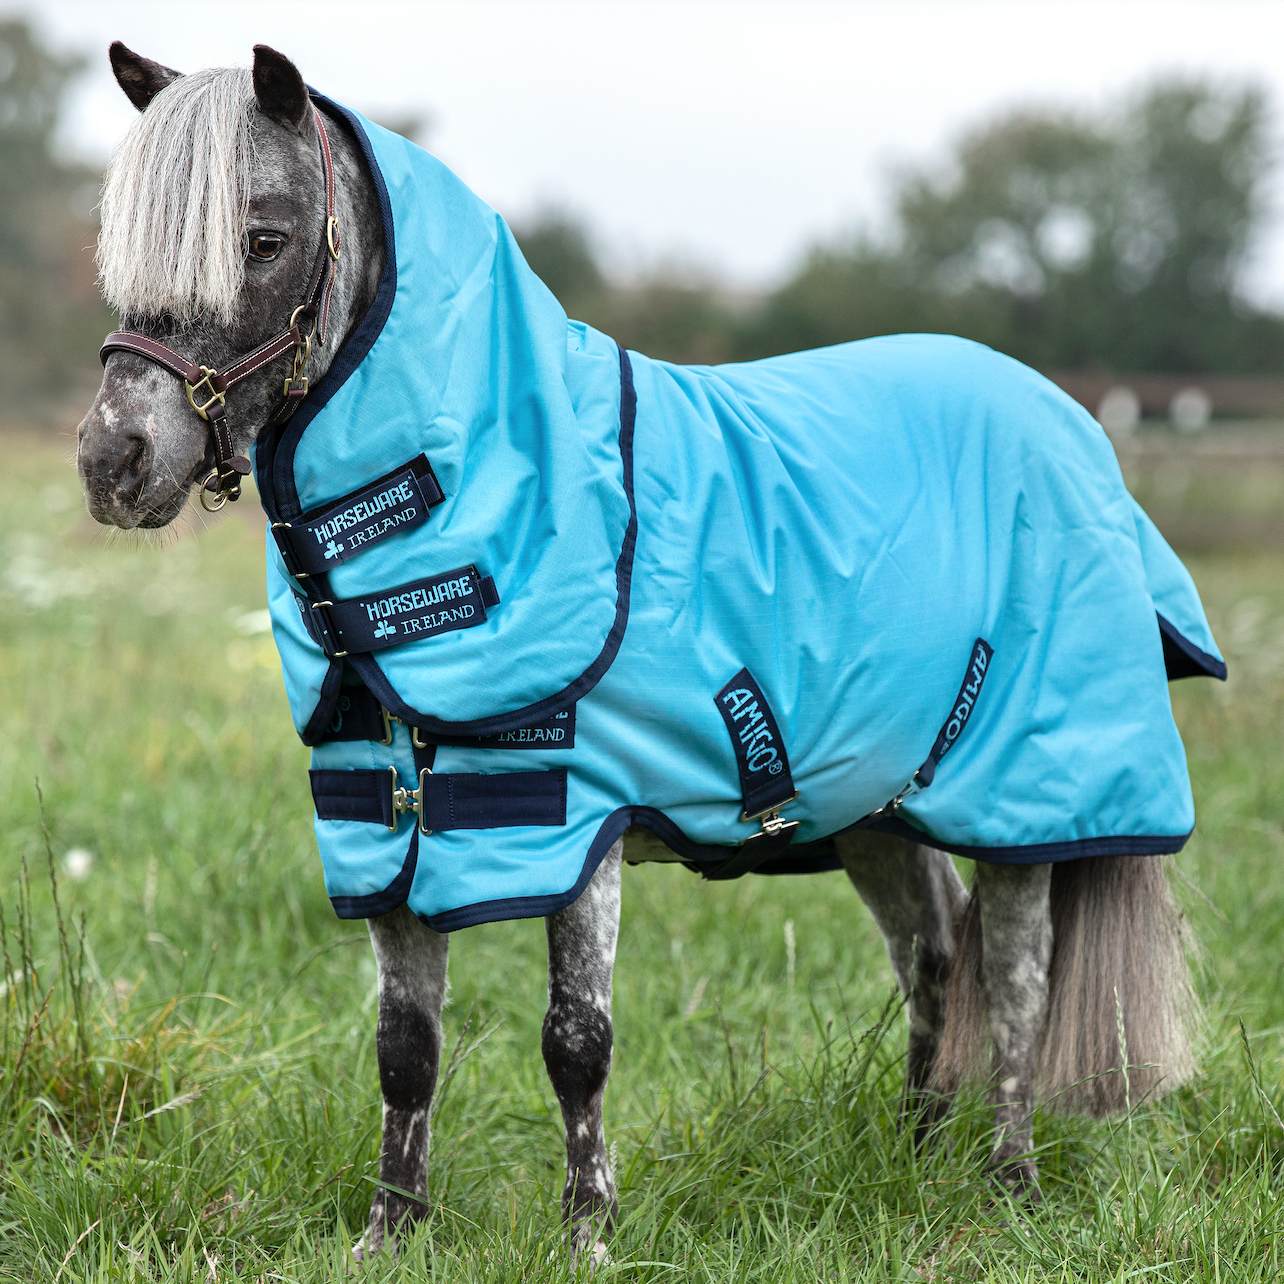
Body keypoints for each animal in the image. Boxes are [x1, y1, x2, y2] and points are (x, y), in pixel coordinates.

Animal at [77, 43, 1210, 1265]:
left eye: (265, 238)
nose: (112, 460)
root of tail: (1072, 426)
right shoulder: (385, 827)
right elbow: (404, 1048)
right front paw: (389, 1235)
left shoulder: (575, 820)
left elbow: (576, 1040)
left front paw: (588, 1236)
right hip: (877, 806)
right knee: (936, 959)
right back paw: (915, 1161)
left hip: (1028, 803)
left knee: (1014, 978)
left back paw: (1007, 1184)